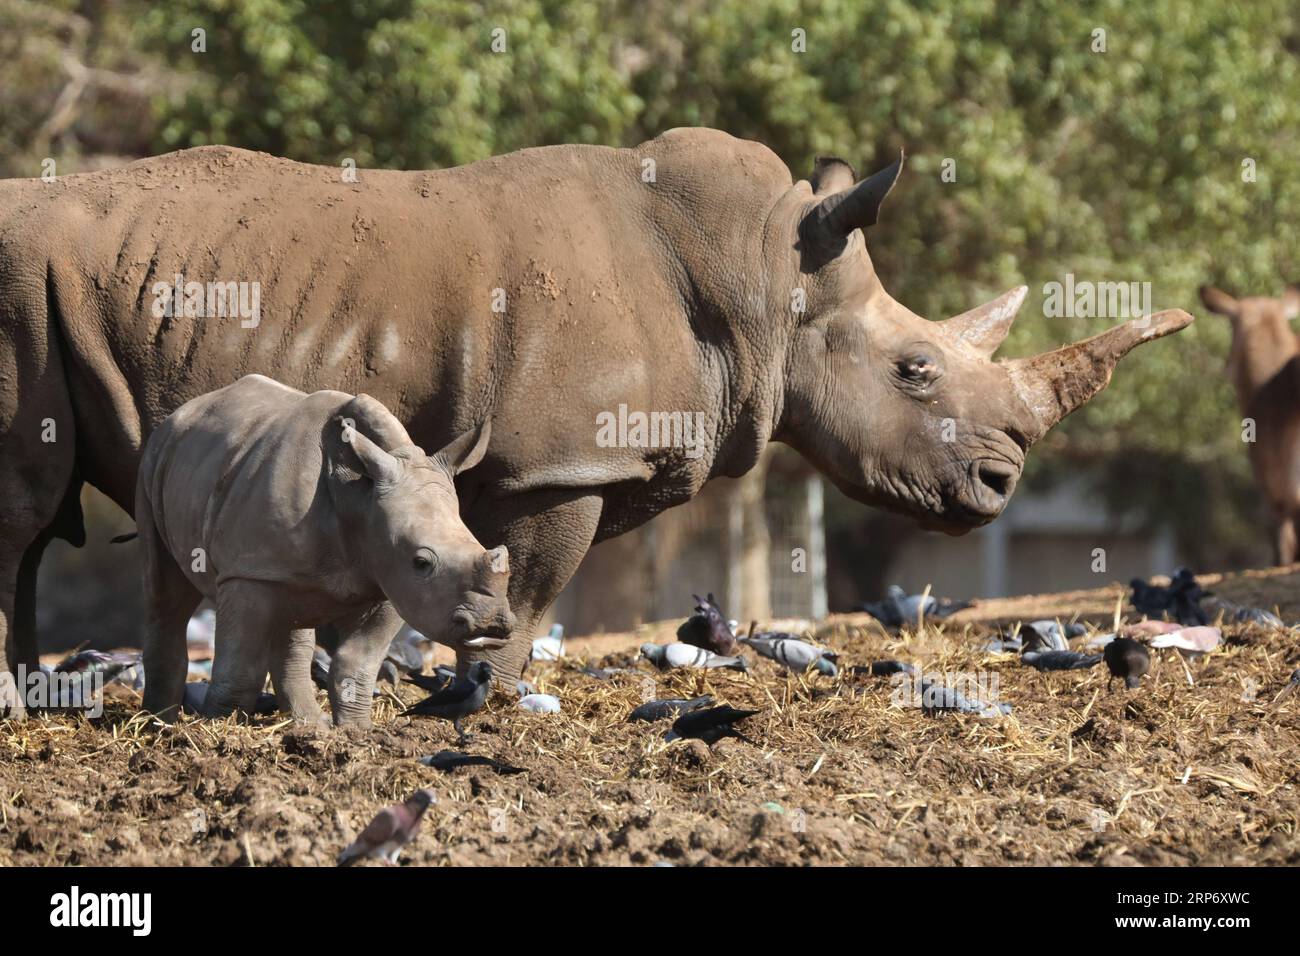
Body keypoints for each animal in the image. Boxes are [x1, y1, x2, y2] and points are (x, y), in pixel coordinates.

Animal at [134, 374, 512, 723]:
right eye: (422, 561)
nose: (490, 624)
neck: (359, 497)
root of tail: (186, 410)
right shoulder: (248, 572)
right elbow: (241, 665)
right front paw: (218, 727)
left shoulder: (390, 582)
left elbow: (356, 664)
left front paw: (356, 732)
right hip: (156, 461)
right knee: (166, 595)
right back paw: (159, 724)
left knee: (293, 616)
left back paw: (310, 726)